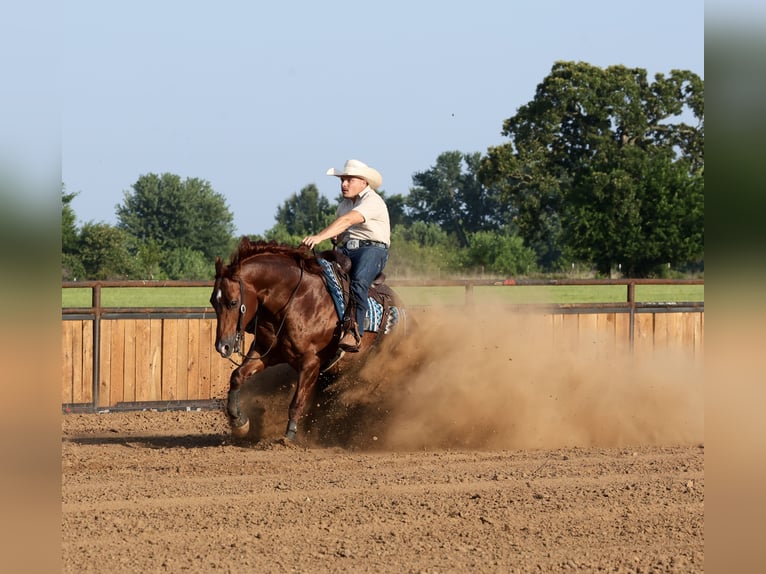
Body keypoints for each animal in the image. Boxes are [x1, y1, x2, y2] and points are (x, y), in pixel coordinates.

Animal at [210, 237, 408, 441]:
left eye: (233, 302)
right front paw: (239, 422)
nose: (222, 346)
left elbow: (297, 401)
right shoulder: (266, 352)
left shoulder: (310, 363)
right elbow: (237, 376)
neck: (296, 300)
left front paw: (288, 437)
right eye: (213, 301)